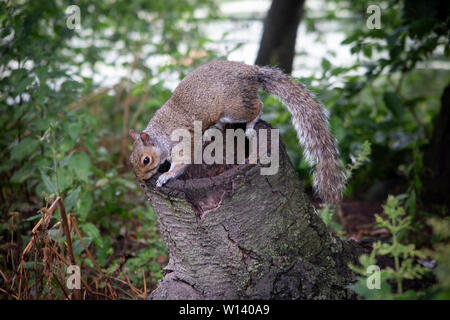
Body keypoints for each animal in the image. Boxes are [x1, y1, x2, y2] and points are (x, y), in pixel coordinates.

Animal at [128, 60, 346, 204]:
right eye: (131, 159)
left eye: (146, 160)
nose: (142, 180)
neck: (161, 134)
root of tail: (252, 72)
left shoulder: (182, 141)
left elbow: (182, 162)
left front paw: (166, 176)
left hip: (233, 108)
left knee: (258, 106)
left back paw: (250, 125)